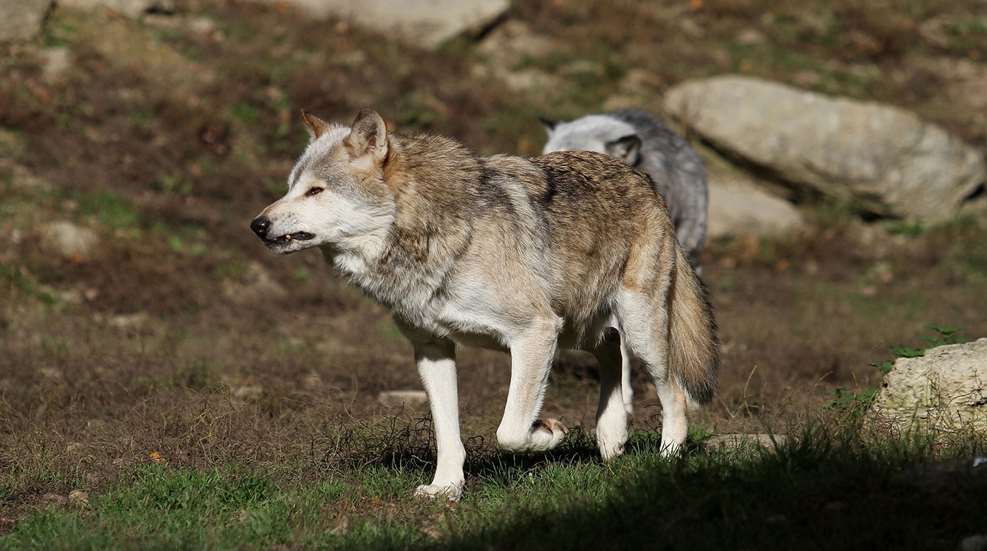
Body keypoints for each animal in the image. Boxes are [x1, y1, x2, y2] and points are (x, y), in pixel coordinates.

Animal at [250, 109, 718, 501]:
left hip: (637, 329)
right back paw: (611, 436)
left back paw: (665, 458)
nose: (257, 224)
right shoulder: (433, 350)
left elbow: (509, 431)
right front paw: (445, 490)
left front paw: (548, 433)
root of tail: (641, 176)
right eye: (291, 188)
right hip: (577, 329)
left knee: (673, 392)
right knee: (611, 349)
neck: (432, 234)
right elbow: (447, 435)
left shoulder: (534, 332)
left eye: (315, 191)